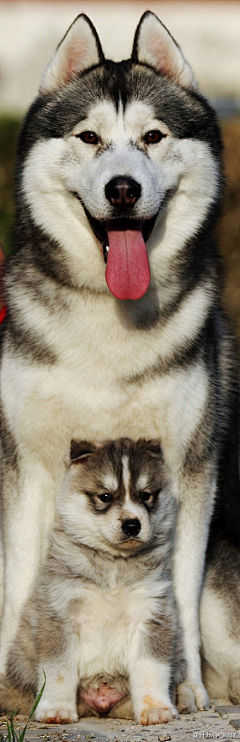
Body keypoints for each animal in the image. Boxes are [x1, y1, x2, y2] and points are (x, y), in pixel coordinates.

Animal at [0, 442, 187, 728]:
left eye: (145, 495)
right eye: (105, 496)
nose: (132, 525)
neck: (113, 564)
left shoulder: (152, 614)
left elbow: (151, 668)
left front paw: (155, 708)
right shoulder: (60, 613)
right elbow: (58, 671)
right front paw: (57, 709)